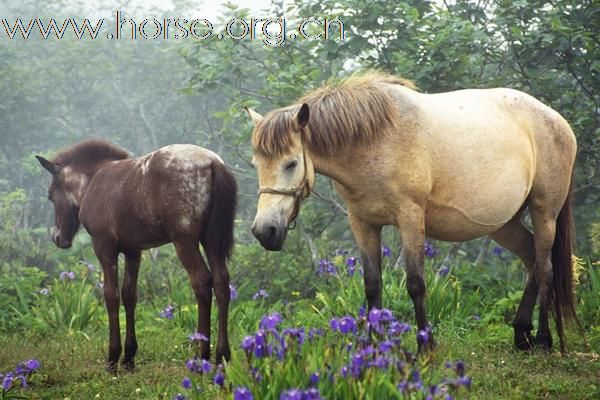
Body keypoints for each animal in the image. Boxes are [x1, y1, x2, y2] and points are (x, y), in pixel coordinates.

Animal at [34, 141, 237, 372]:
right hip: (211, 240)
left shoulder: (104, 246)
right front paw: (129, 358)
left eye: (51, 194)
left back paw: (200, 356)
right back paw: (222, 355)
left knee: (202, 282)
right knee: (221, 283)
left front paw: (113, 358)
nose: (58, 237)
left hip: (184, 241)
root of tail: (212, 162)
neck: (93, 181)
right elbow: (129, 295)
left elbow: (111, 296)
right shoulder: (134, 251)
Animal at [247, 72, 576, 354]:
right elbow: (372, 285)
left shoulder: (410, 218)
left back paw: (544, 340)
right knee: (532, 259)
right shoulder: (363, 223)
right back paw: (521, 334)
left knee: (545, 268)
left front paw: (424, 346)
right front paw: (374, 346)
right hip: (504, 224)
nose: (265, 231)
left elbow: (416, 284)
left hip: (544, 212)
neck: (375, 140)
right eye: (256, 165)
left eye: (291, 163)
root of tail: (558, 121)